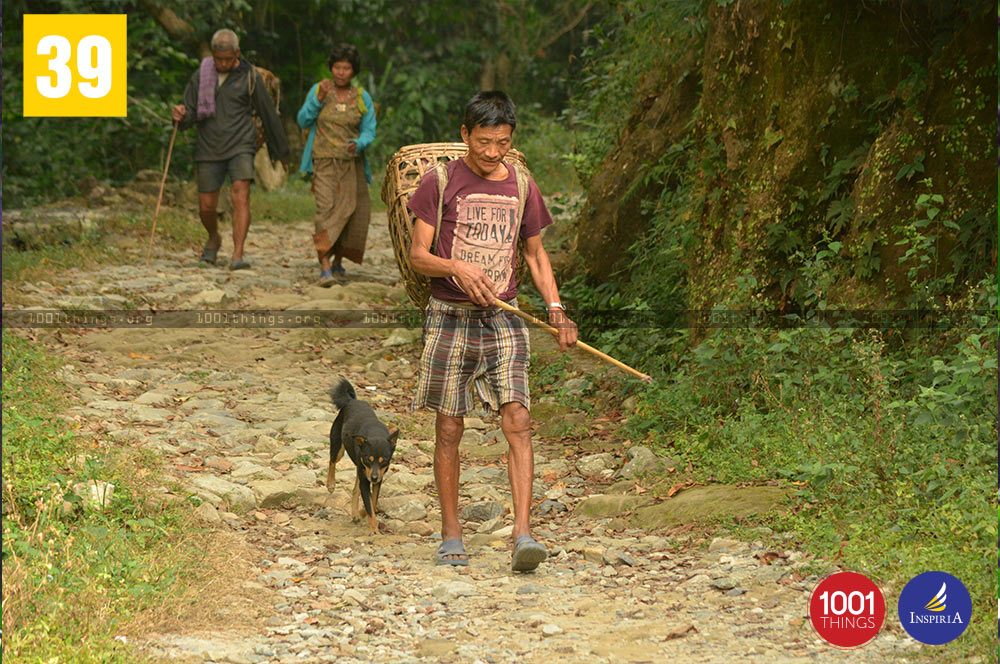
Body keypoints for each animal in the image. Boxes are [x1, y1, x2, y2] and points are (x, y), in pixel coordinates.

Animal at [324, 378, 394, 536]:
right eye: (369, 459)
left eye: (384, 461)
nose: (373, 478)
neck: (375, 434)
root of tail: (352, 400)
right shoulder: (366, 477)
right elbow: (370, 505)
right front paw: (374, 530)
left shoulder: (377, 479)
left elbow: (372, 503)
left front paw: (362, 513)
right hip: (338, 447)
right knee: (332, 461)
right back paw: (330, 484)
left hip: (359, 467)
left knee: (355, 489)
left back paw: (356, 513)